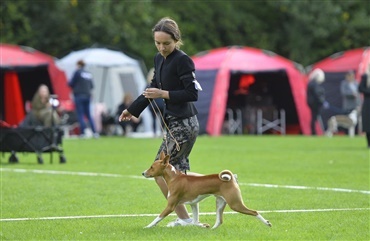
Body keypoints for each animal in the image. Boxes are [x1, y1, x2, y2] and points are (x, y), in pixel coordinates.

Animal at [142, 152, 272, 229]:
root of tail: (232, 178)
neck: (174, 177)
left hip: (235, 204)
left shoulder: (170, 206)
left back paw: (267, 223)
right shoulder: (194, 204)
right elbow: (195, 221)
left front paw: (147, 226)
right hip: (220, 203)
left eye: (152, 167)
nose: (143, 173)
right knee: (219, 221)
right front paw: (201, 226)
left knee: (254, 212)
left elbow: (157, 218)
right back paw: (211, 230)